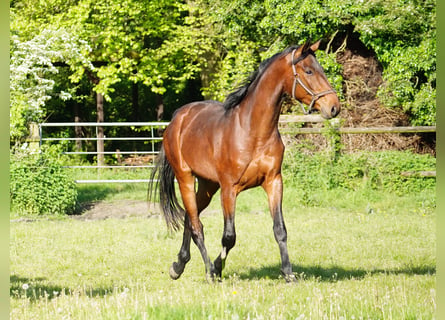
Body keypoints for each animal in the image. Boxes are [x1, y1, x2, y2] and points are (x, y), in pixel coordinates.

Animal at [147, 40, 338, 282]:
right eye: (309, 71)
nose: (334, 107)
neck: (253, 132)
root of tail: (177, 119)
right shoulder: (229, 189)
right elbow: (229, 237)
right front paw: (216, 269)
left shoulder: (274, 182)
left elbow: (280, 229)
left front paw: (288, 273)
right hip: (186, 179)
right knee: (196, 225)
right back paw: (206, 271)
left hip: (208, 186)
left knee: (190, 220)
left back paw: (178, 266)